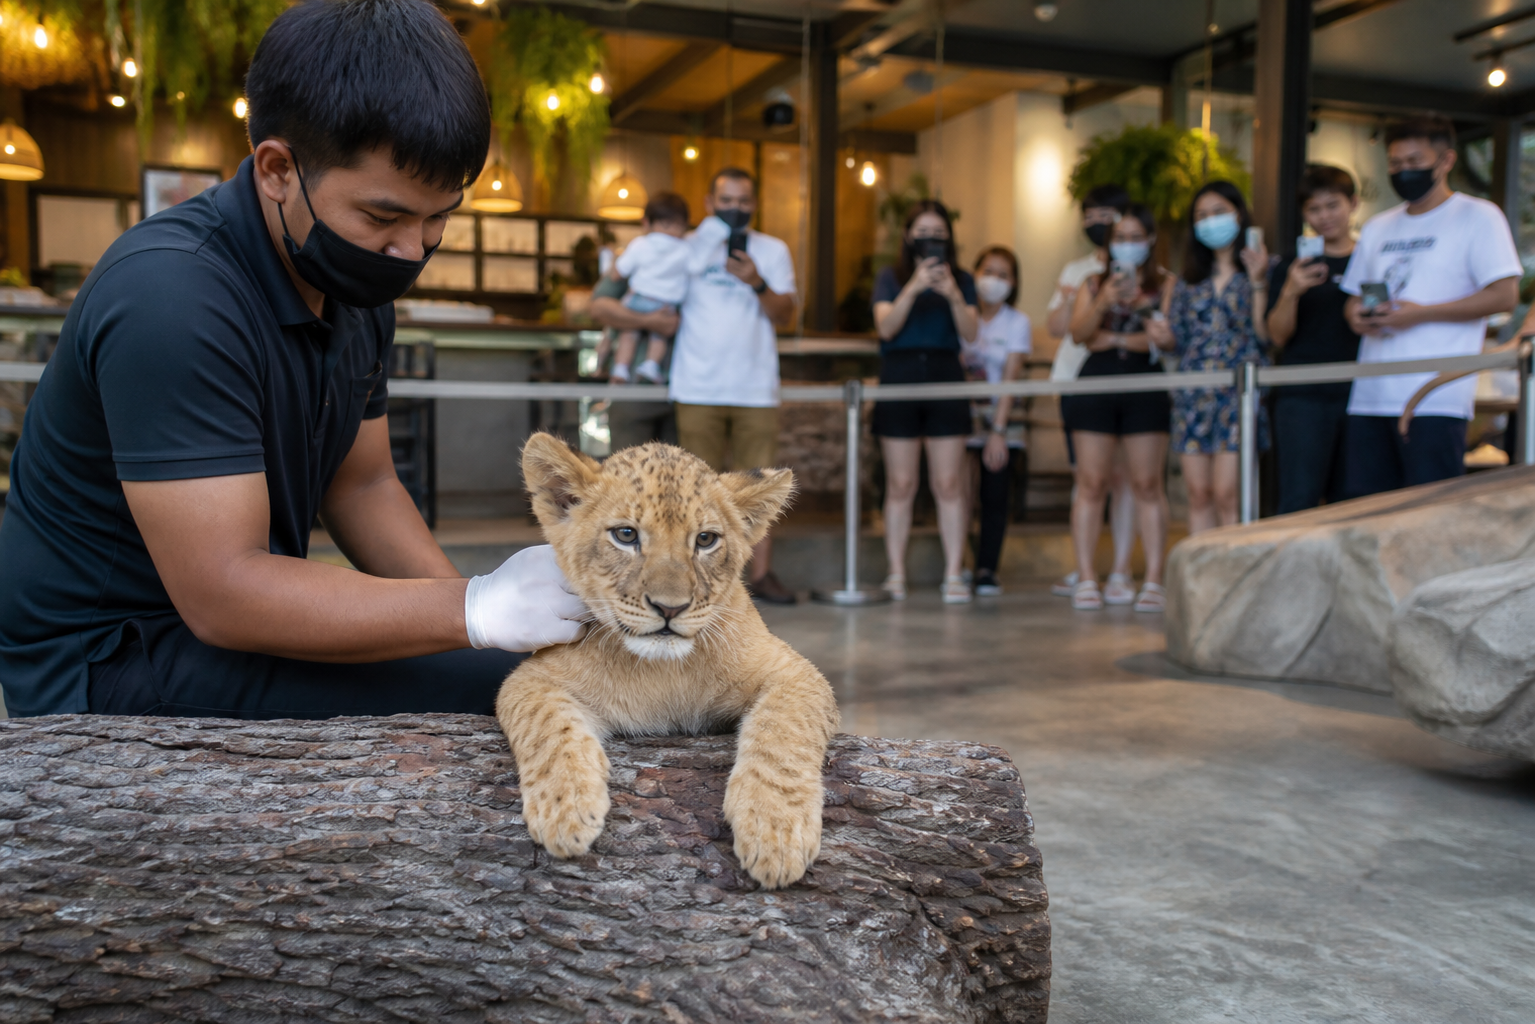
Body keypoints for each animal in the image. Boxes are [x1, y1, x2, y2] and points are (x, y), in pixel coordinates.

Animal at [495, 433, 840, 889]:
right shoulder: (529, 679)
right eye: (626, 535)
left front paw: (776, 832)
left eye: (706, 540)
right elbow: (545, 724)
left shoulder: (794, 671)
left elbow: (783, 727)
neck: (662, 670)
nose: (670, 608)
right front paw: (564, 809)